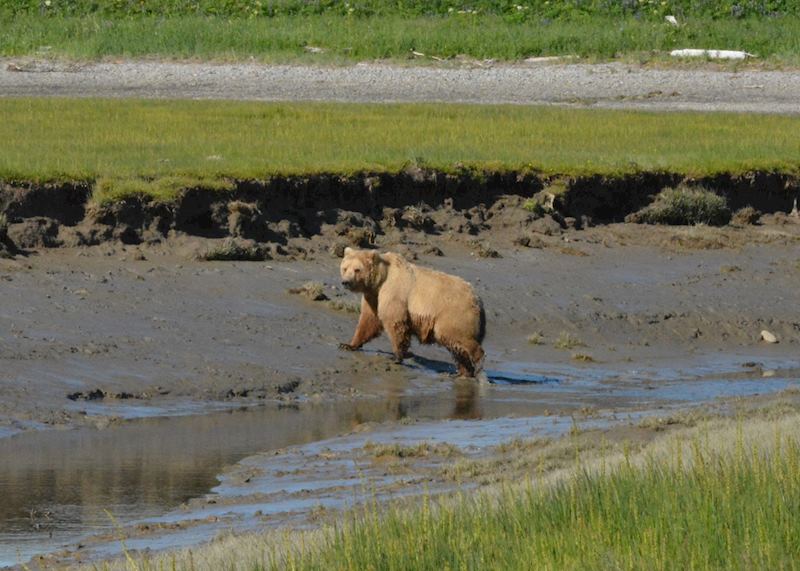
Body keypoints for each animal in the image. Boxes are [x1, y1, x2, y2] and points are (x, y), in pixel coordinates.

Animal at [338, 247, 486, 377]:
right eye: (344, 268)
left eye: (357, 269)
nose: (345, 282)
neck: (381, 279)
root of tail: (478, 299)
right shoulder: (373, 296)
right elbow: (369, 321)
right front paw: (348, 344)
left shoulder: (394, 292)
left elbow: (394, 322)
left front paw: (396, 356)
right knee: (456, 347)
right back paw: (463, 372)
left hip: (455, 313)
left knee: (456, 337)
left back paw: (478, 364)